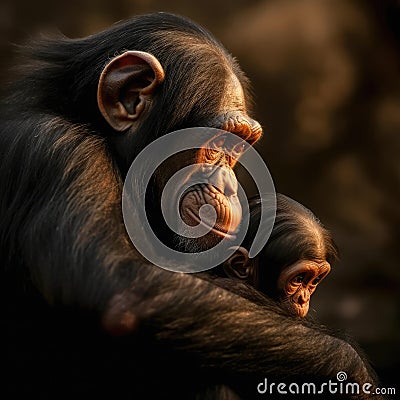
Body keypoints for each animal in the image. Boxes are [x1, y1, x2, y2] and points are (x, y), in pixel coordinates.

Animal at [0, 11, 382, 396]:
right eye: (218, 145)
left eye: (237, 147)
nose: (229, 187)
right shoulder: (59, 153)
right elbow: (122, 289)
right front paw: (352, 373)